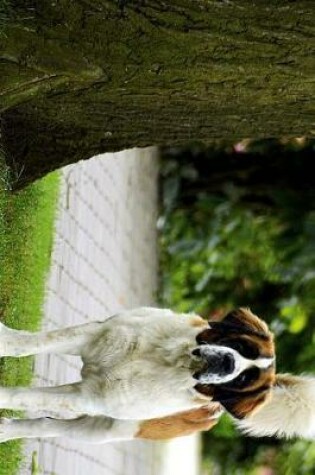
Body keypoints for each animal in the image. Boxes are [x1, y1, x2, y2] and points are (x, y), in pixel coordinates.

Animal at [0, 306, 314, 444]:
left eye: (242, 381)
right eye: (241, 347)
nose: (227, 362)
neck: (170, 359)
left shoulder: (89, 397)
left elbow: (25, 397)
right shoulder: (92, 335)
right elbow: (30, 344)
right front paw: (5, 340)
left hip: (104, 430)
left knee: (46, 425)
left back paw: (8, 431)